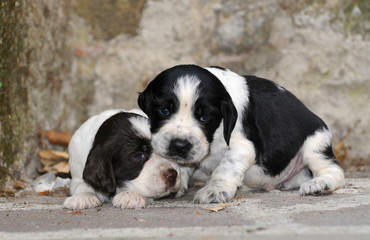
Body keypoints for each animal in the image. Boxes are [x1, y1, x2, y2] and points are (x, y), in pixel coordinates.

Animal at [137, 64, 346, 203]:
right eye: (164, 111)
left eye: (204, 117)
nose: (179, 145)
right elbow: (184, 165)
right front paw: (177, 183)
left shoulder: (242, 146)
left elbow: (226, 169)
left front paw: (214, 190)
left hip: (315, 144)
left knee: (334, 170)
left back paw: (318, 184)